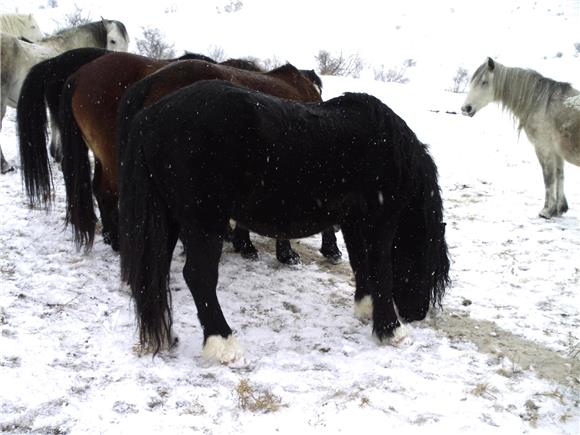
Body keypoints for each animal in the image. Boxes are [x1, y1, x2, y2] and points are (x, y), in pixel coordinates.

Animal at [118, 80, 450, 362]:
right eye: (429, 263)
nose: (416, 314)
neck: (388, 148)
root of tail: (150, 116)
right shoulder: (381, 220)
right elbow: (382, 269)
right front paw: (391, 330)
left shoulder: (354, 222)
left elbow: (361, 264)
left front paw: (366, 308)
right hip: (204, 222)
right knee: (199, 276)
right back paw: (223, 344)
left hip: (170, 221)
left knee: (156, 274)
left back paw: (167, 336)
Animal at [462, 58, 580, 220]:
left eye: (484, 82)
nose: (465, 108)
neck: (542, 104)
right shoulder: (556, 152)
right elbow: (559, 175)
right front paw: (559, 209)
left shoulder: (544, 149)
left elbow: (549, 178)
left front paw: (546, 211)